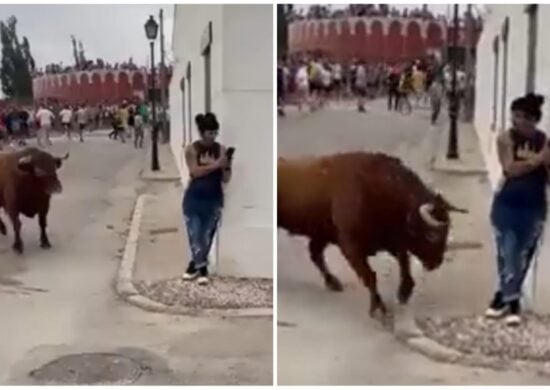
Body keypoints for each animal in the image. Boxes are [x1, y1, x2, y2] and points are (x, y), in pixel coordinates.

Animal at [280, 152, 466, 316]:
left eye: (447, 231)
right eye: (431, 235)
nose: (436, 263)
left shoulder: (391, 241)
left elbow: (403, 263)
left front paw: (403, 293)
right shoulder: (351, 247)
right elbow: (370, 276)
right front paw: (378, 308)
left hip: (321, 235)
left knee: (315, 254)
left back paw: (333, 283)